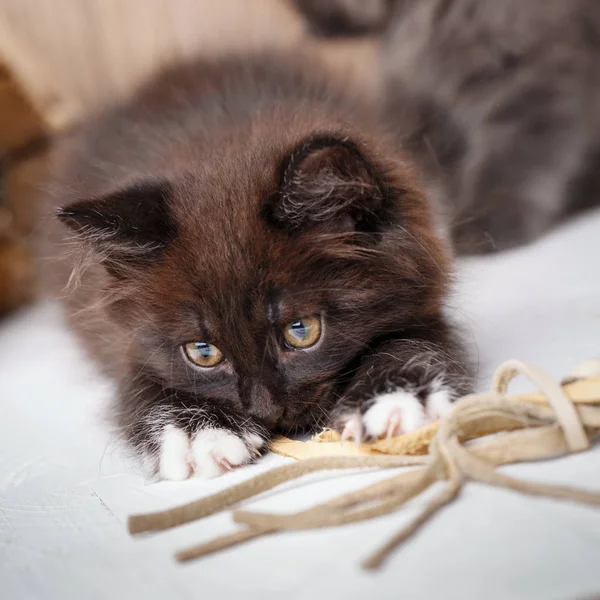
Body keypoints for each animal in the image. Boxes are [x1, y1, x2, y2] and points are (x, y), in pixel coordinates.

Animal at [42, 54, 474, 480]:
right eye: (202, 352)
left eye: (301, 330)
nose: (267, 412)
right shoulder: (125, 341)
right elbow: (137, 381)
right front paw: (199, 432)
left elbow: (416, 341)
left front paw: (394, 397)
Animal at [292, 0, 600, 253]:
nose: (305, 30)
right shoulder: (422, 98)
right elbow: (429, 160)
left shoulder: (530, 76)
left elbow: (512, 163)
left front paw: (484, 222)